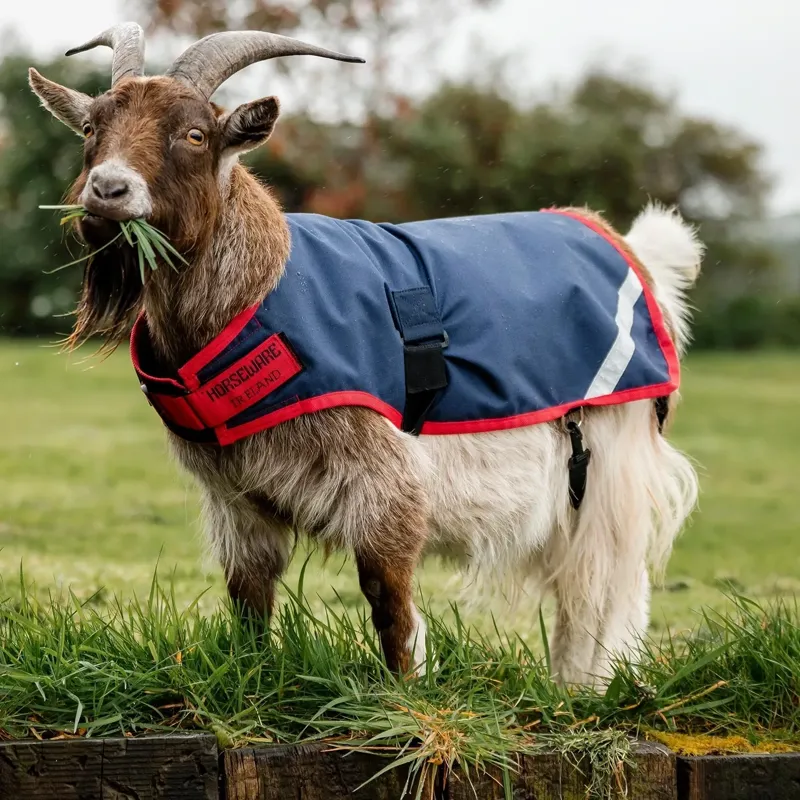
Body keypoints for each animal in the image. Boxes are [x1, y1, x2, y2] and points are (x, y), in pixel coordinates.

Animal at [29, 23, 701, 684]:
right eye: (90, 128)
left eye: (195, 134)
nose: (108, 189)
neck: (259, 293)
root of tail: (629, 249)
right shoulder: (237, 496)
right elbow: (248, 596)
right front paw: (252, 681)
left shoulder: (384, 477)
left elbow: (387, 596)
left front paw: (405, 694)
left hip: (611, 458)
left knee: (605, 586)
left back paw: (582, 690)